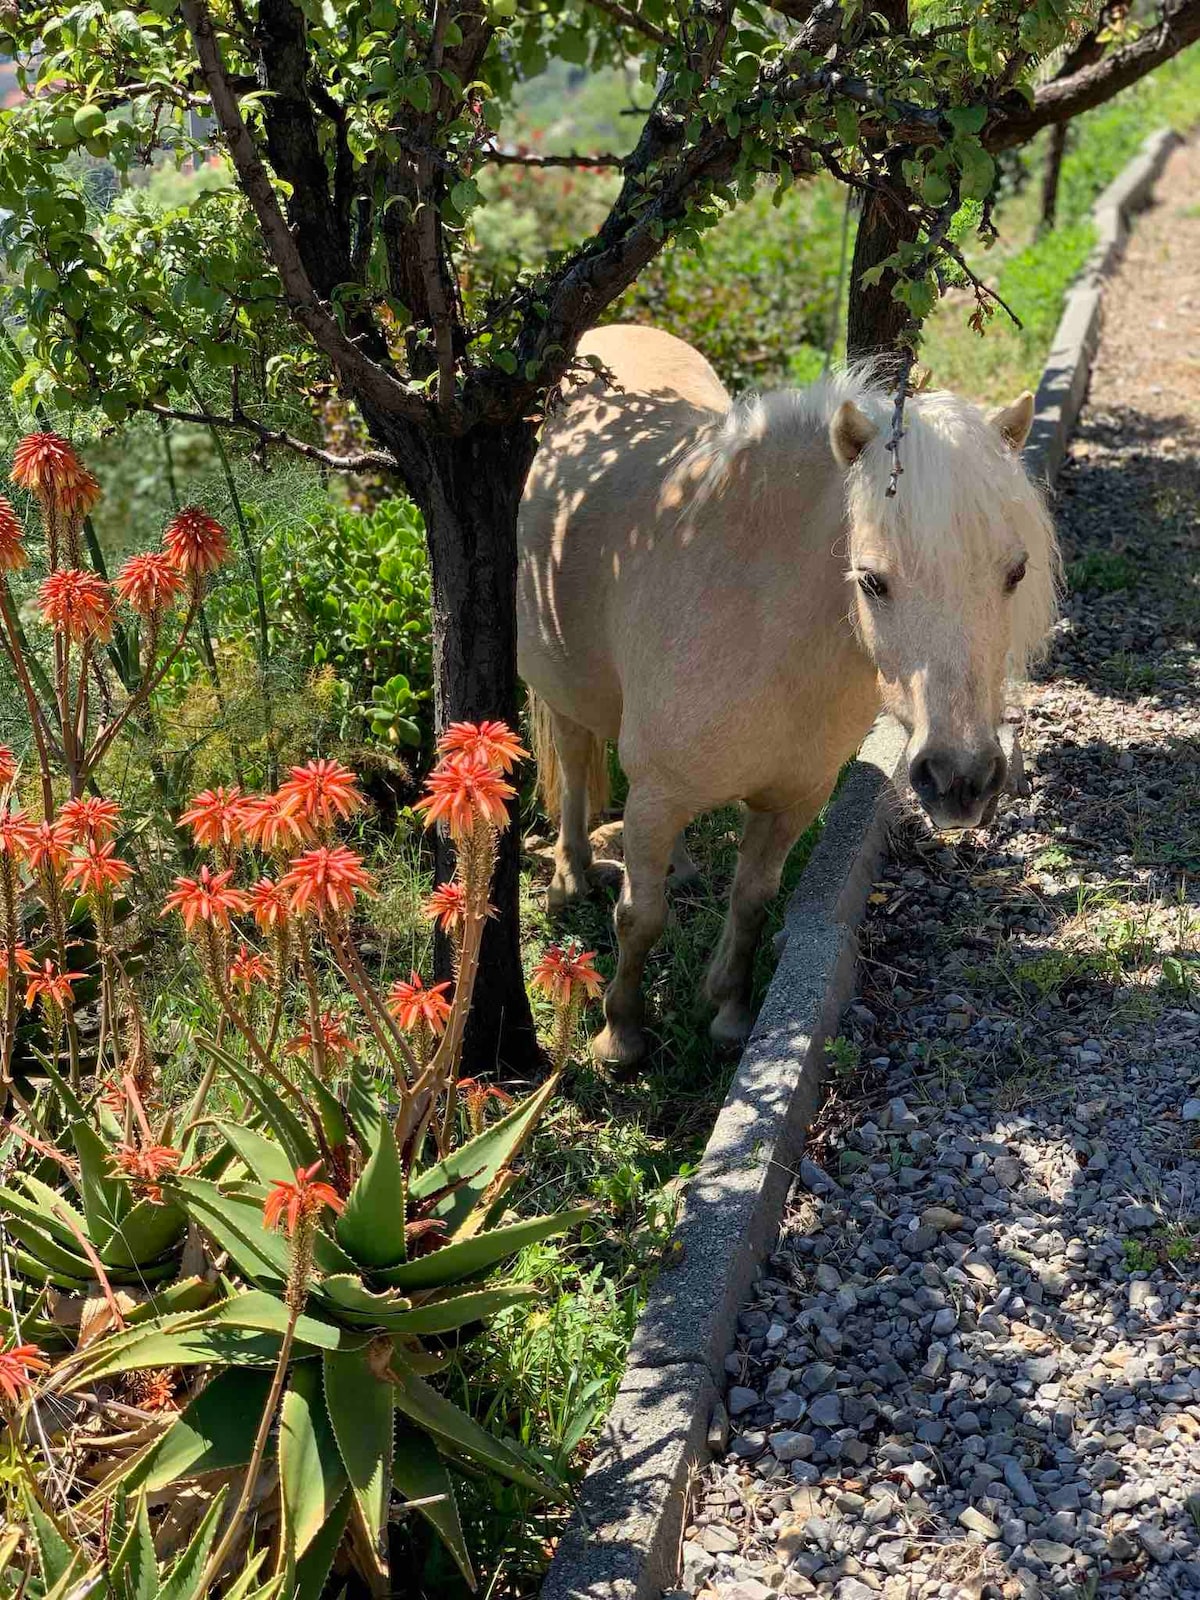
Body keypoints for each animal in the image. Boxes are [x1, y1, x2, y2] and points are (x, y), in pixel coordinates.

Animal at [518, 328, 1062, 1062]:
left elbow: (751, 899)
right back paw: (570, 875)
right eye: (872, 580)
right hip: (565, 691)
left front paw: (729, 1014)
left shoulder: (793, 800)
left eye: (1016, 571)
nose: (962, 778)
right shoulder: (656, 797)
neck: (760, 620)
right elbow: (639, 917)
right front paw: (620, 1036)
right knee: (575, 758)